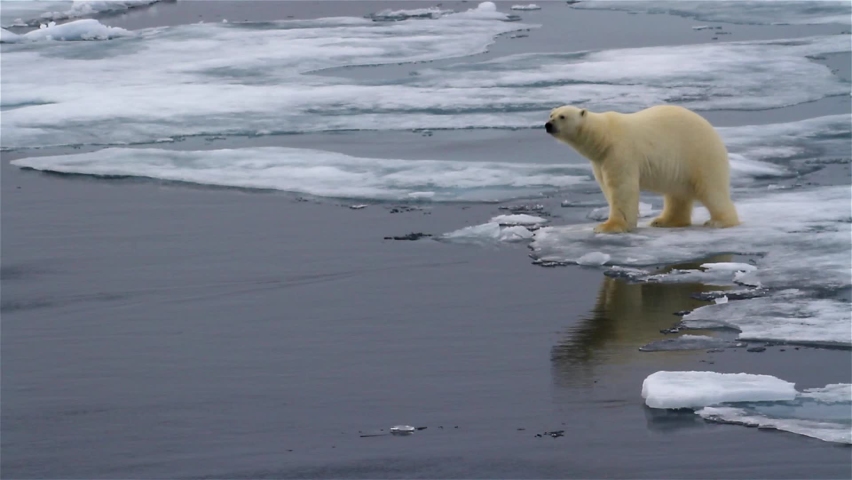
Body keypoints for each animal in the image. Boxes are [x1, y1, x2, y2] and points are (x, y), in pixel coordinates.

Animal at [545, 104, 740, 234]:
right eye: (551, 114)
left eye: (562, 116)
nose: (548, 125)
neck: (604, 137)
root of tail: (714, 133)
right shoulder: (600, 161)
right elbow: (607, 187)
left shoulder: (620, 152)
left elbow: (622, 188)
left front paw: (609, 226)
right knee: (677, 194)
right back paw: (664, 221)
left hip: (699, 154)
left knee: (711, 189)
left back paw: (719, 222)